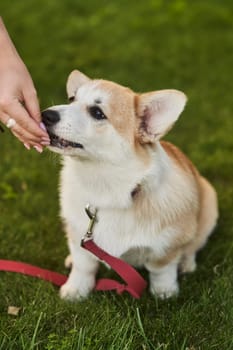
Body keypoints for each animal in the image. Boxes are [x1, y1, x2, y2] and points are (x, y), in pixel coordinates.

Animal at [41, 71, 218, 300]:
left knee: (192, 247)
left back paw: (186, 264)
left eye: (97, 112)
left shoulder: (167, 246)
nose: (45, 115)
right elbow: (84, 265)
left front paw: (164, 292)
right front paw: (75, 290)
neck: (105, 186)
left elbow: (162, 269)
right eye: (72, 99)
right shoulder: (78, 233)